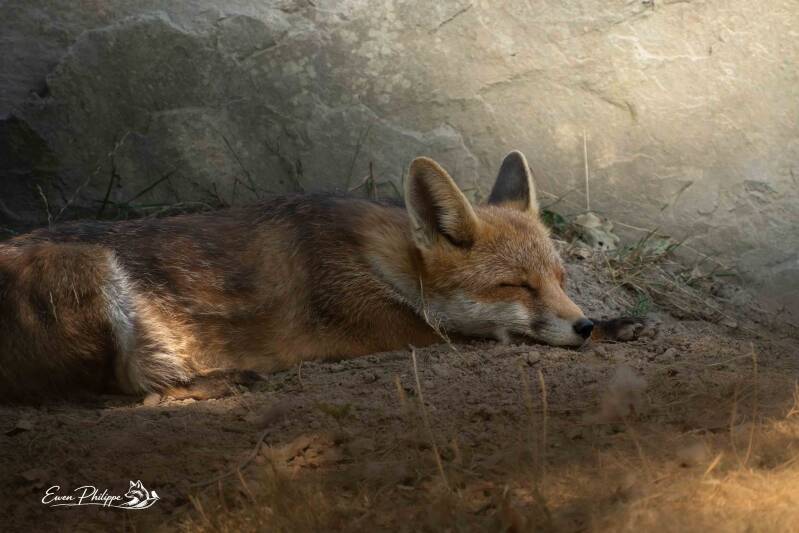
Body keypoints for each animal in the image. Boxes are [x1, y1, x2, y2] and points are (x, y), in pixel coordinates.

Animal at [0, 151, 648, 402]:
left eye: (561, 278)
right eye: (517, 286)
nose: (580, 325)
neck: (378, 261)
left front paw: (613, 322)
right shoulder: (398, 331)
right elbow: (492, 336)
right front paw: (606, 328)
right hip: (90, 273)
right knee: (122, 389)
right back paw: (220, 382)